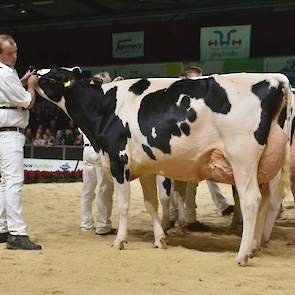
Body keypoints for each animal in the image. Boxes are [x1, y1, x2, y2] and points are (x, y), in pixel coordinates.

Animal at [36, 68, 294, 268]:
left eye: (53, 76)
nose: (33, 75)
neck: (104, 107)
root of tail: (273, 78)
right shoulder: (147, 167)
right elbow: (151, 203)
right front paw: (160, 239)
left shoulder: (119, 161)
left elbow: (124, 205)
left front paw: (120, 241)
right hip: (263, 166)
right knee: (266, 201)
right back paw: (253, 247)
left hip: (242, 158)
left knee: (251, 200)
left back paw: (242, 255)